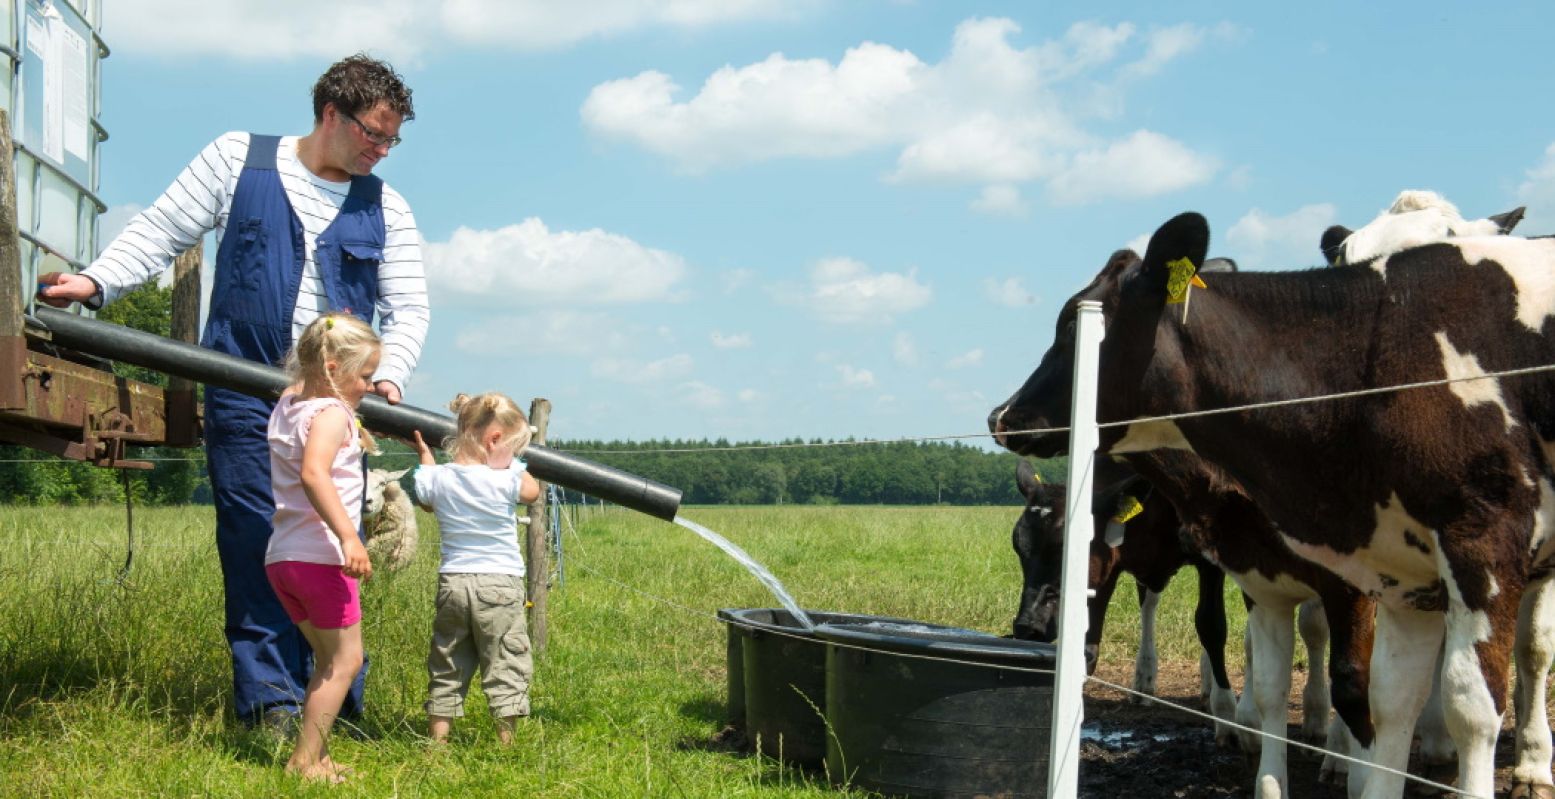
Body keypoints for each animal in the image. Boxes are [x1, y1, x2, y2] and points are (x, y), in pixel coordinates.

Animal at [988, 212, 1555, 795]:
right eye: (1020, 550)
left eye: (1071, 327)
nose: (1000, 416)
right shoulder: (1325, 569)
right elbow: (1300, 682)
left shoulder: (1452, 556)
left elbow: (1392, 688)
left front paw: (1345, 761)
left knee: (1530, 650)